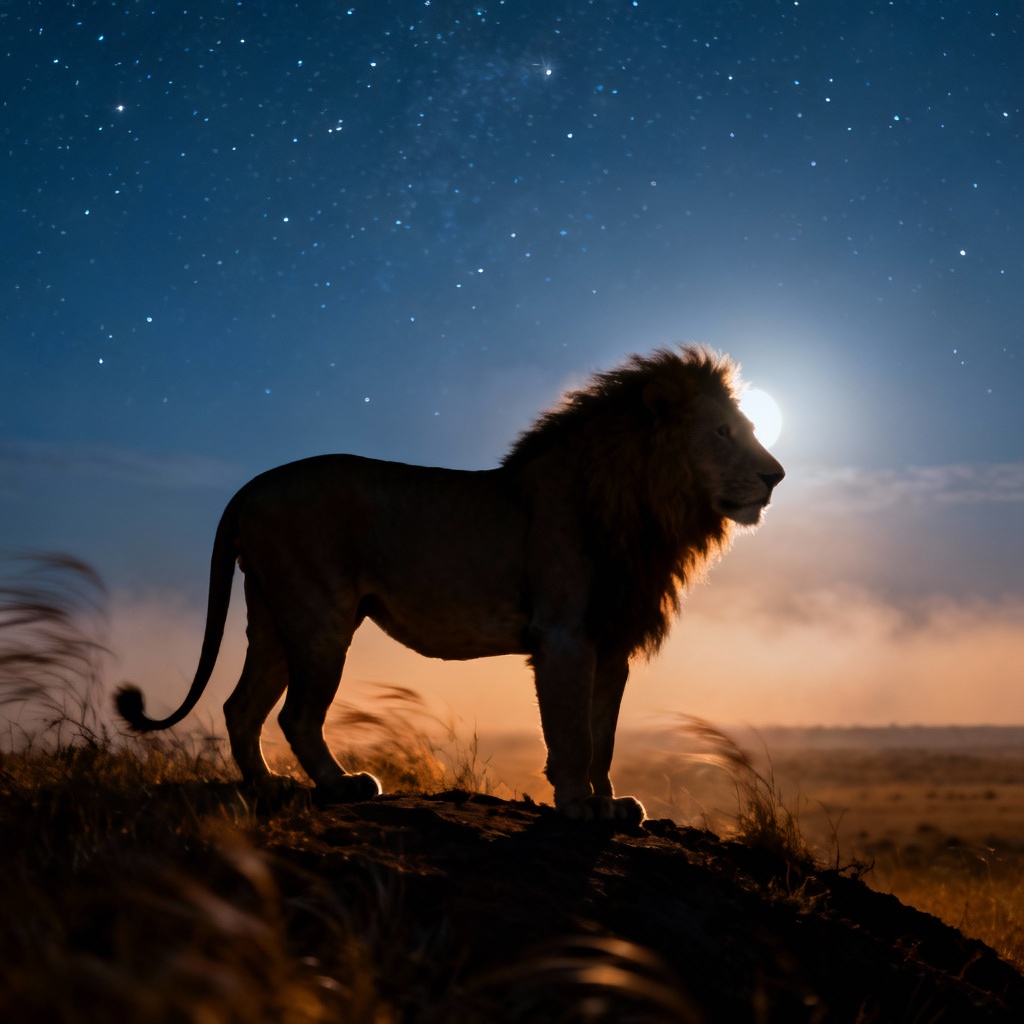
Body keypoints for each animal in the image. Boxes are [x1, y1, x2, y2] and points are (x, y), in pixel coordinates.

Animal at [116, 346, 784, 823]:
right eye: (723, 432)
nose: (776, 475)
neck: (648, 509)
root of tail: (250, 487)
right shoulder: (565, 635)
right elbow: (571, 732)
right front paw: (578, 805)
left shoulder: (611, 641)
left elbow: (604, 735)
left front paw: (611, 803)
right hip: (320, 616)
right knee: (296, 716)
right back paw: (343, 786)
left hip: (274, 617)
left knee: (240, 706)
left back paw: (268, 787)